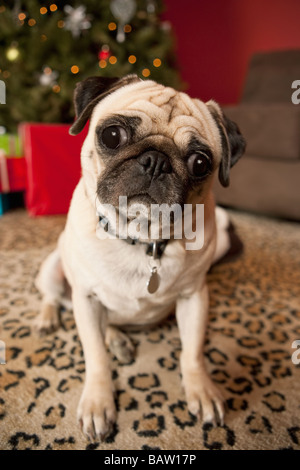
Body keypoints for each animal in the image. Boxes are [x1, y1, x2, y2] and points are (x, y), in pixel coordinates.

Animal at [34, 75, 245, 442]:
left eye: (201, 163)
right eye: (112, 135)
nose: (156, 161)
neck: (141, 240)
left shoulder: (194, 297)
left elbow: (193, 352)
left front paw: (201, 389)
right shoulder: (86, 298)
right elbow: (95, 356)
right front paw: (98, 402)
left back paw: (117, 338)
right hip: (52, 267)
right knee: (54, 296)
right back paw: (50, 319)